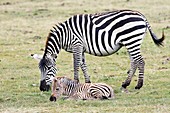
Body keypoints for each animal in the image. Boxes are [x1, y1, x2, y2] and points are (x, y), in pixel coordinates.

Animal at [33, 9, 165, 91]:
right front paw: (87, 82)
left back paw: (138, 85)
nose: (42, 88)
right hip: (130, 42)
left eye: (49, 68)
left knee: (140, 61)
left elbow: (76, 65)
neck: (64, 36)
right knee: (134, 62)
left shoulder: (77, 45)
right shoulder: (81, 48)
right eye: (40, 69)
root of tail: (141, 16)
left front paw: (75, 83)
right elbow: (83, 65)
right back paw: (125, 84)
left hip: (132, 40)